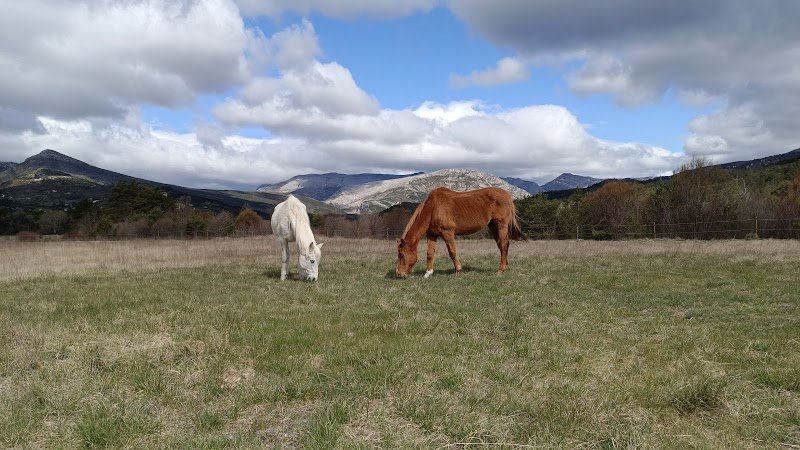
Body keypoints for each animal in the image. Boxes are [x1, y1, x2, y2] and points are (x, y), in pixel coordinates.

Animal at [395, 187, 527, 278]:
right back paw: (505, 266)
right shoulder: (432, 234)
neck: (433, 208)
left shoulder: (447, 233)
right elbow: (430, 253)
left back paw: (500, 270)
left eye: (401, 255)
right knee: (502, 245)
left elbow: (452, 252)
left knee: (503, 245)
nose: (399, 274)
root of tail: (507, 195)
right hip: (493, 226)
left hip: (501, 225)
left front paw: (458, 270)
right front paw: (428, 273)